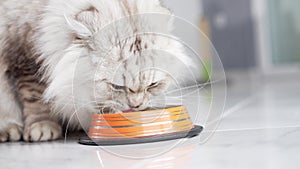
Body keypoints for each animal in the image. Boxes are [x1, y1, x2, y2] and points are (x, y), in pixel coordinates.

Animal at [0, 0, 192, 142]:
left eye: (153, 85)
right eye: (117, 86)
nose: (136, 106)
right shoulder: (26, 57)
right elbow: (36, 99)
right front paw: (42, 128)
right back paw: (10, 131)